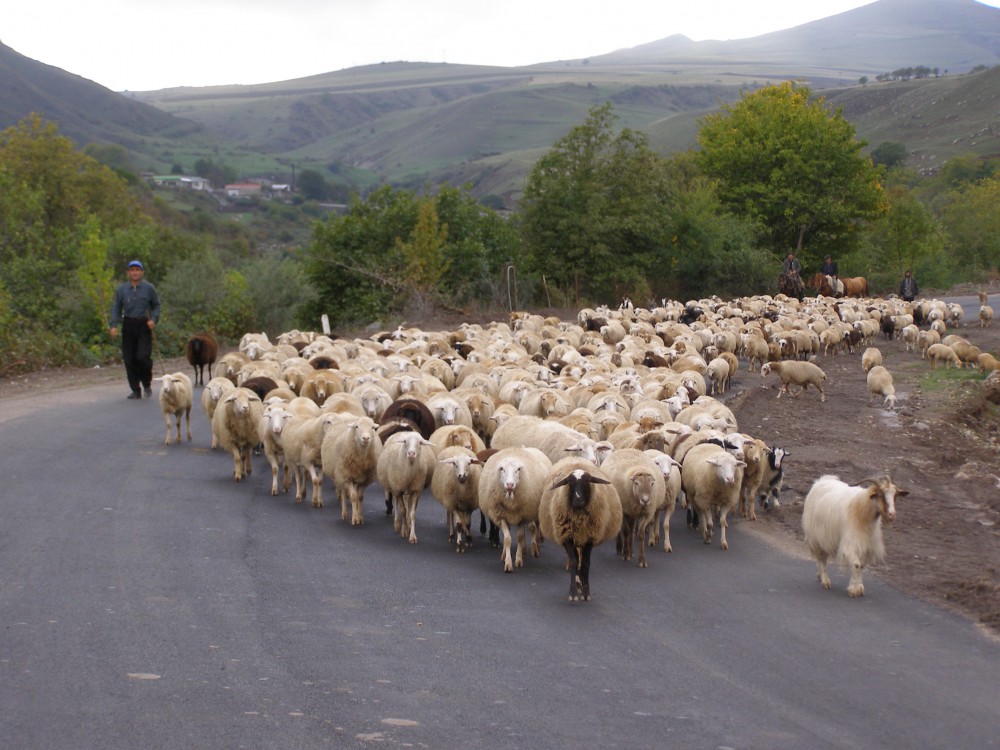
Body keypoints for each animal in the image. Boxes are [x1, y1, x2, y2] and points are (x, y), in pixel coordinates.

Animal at [478, 446, 556, 576]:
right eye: (502, 469)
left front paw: (519, 560)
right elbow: (507, 539)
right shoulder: (501, 516)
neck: (511, 500)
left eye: (518, 469)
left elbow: (519, 537)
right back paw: (505, 554)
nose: (510, 484)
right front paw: (508, 563)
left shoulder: (522, 516)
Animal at [540, 456, 624, 604]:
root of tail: (574, 457)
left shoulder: (590, 538)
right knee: (576, 559)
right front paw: (573, 592)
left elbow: (585, 564)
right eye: (570, 482)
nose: (578, 500)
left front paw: (586, 592)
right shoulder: (567, 538)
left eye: (587, 481)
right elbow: (574, 562)